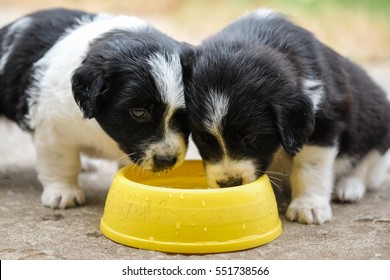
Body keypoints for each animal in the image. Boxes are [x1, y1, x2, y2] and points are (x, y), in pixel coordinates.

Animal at [183, 8, 390, 225]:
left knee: (367, 167)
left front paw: (309, 205)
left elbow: (310, 166)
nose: (230, 183)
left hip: (377, 122)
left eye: (251, 137)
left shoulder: (322, 121)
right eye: (203, 138)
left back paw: (349, 187)